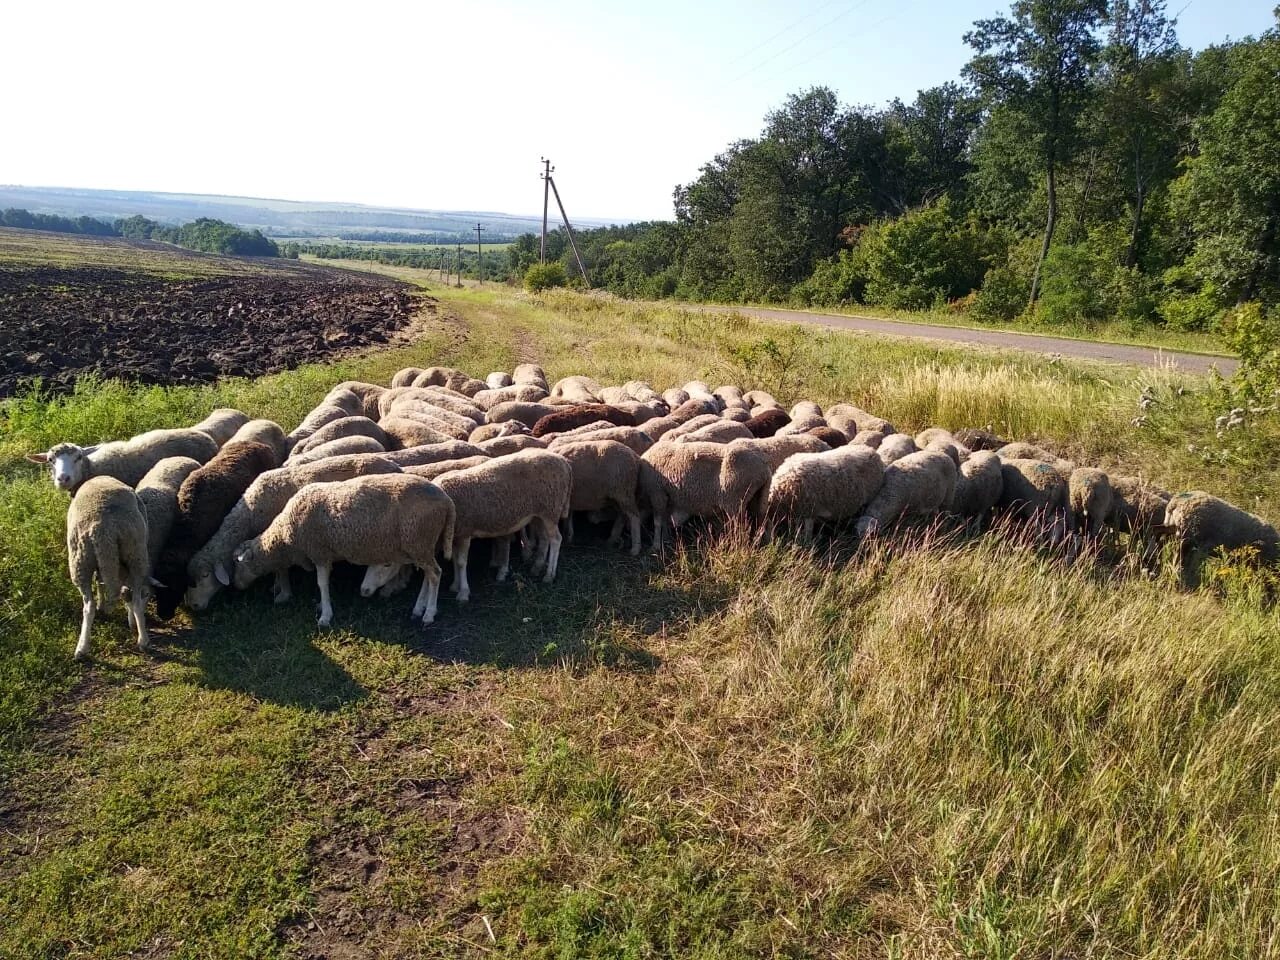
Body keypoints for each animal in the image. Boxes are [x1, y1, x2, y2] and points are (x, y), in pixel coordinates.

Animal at [185, 450, 401, 609]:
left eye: (204, 577)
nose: (192, 606)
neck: (249, 513)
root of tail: (396, 468)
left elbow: (281, 568)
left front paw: (283, 592)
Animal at [235, 476, 455, 632]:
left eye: (238, 564)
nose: (236, 586)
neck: (286, 532)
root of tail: (446, 500)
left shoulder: (320, 552)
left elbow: (322, 584)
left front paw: (325, 616)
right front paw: (321, 608)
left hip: (419, 540)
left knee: (435, 574)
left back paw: (429, 613)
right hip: (422, 545)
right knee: (429, 575)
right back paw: (419, 608)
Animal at [432, 450, 573, 601]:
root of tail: (563, 461)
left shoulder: (465, 531)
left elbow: (461, 562)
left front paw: (463, 592)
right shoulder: (455, 535)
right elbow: (454, 560)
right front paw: (455, 585)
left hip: (550, 509)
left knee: (556, 540)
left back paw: (549, 575)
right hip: (539, 514)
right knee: (545, 539)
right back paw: (537, 567)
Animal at [640, 440, 768, 545]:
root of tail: (764, 468)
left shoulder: (657, 493)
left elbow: (657, 522)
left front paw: (656, 545)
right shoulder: (667, 496)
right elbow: (664, 520)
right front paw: (666, 539)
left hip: (734, 501)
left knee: (741, 528)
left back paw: (737, 545)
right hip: (758, 498)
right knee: (761, 521)